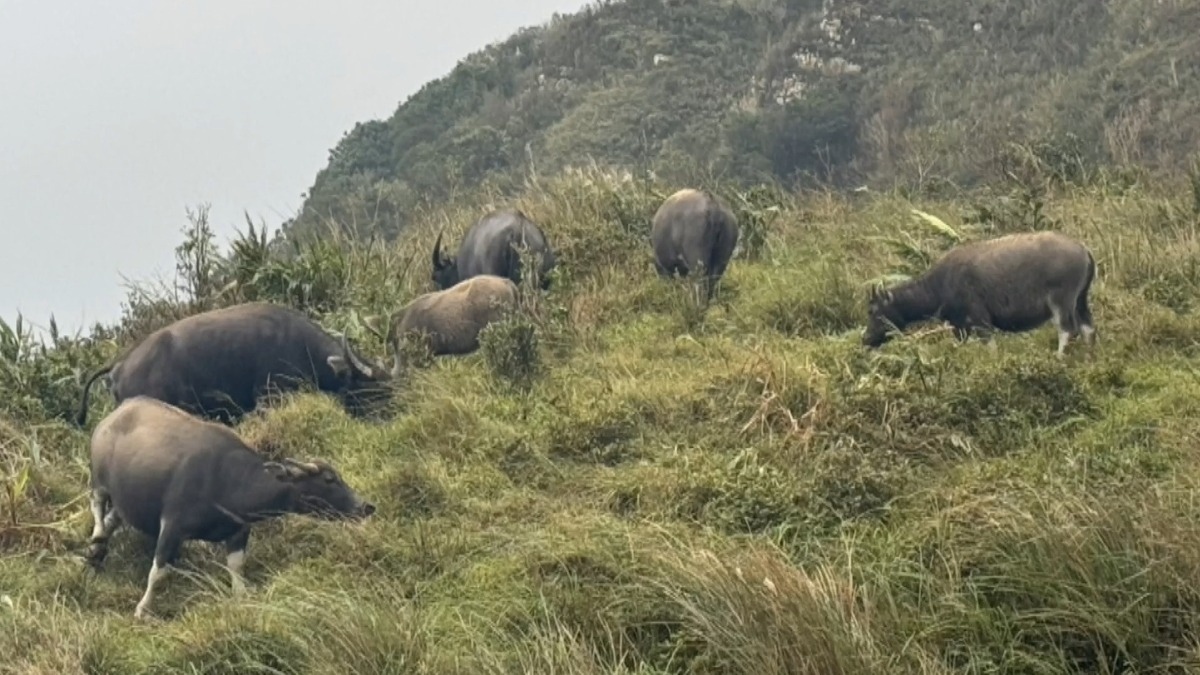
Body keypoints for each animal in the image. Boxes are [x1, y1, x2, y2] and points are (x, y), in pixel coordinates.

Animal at [84, 393, 372, 619]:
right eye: (329, 479)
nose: (366, 507)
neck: (226, 480)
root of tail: (117, 413)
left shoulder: (238, 531)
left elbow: (236, 568)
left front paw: (243, 596)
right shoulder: (172, 526)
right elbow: (158, 572)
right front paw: (142, 609)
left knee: (113, 518)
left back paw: (96, 550)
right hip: (99, 480)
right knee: (97, 505)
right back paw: (97, 538)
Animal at [864, 228, 1099, 355]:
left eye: (873, 311)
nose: (866, 339)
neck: (940, 284)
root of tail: (1083, 250)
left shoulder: (981, 322)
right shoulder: (959, 327)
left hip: (1061, 301)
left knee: (1068, 330)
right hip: (1080, 301)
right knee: (1088, 329)